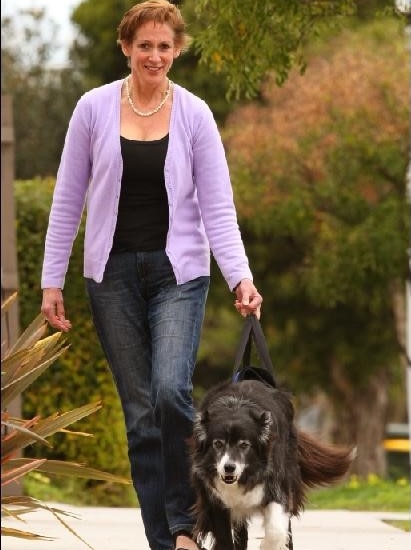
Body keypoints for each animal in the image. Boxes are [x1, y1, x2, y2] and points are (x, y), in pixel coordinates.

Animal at [190, 382, 354, 550]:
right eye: (217, 444)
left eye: (244, 445)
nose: (229, 467)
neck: (234, 407)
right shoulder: (213, 500)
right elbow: (224, 538)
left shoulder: (275, 484)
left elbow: (276, 529)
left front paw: (268, 545)